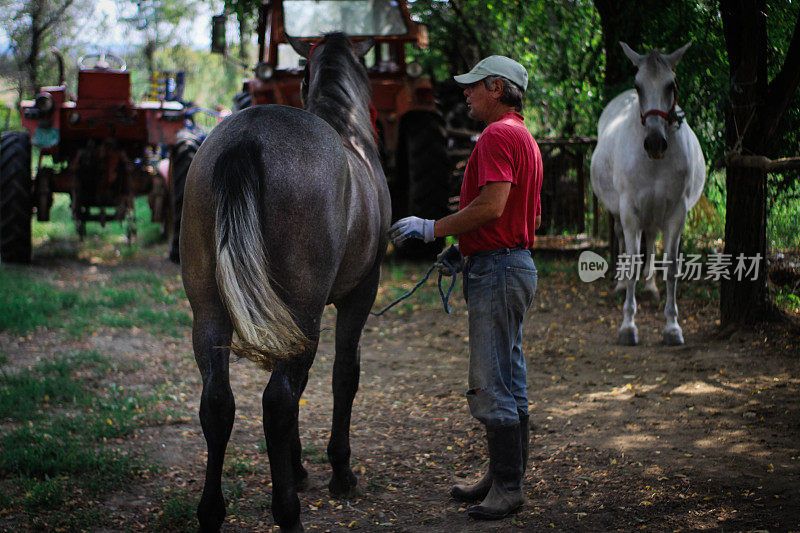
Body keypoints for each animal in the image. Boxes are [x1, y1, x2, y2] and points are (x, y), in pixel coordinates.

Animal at [182, 32, 394, 528]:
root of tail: (247, 135)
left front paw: (296, 467)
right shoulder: (360, 292)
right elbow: (344, 375)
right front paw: (339, 471)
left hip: (209, 310)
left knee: (217, 403)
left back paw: (212, 513)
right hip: (302, 306)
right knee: (277, 402)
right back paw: (289, 513)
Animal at [588, 43, 708, 348]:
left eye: (671, 84)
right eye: (638, 85)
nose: (655, 143)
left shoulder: (677, 212)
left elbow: (672, 267)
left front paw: (672, 328)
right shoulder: (630, 211)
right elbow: (631, 261)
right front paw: (628, 326)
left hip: (655, 212)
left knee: (651, 239)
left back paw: (651, 288)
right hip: (620, 212)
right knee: (621, 239)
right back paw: (621, 286)